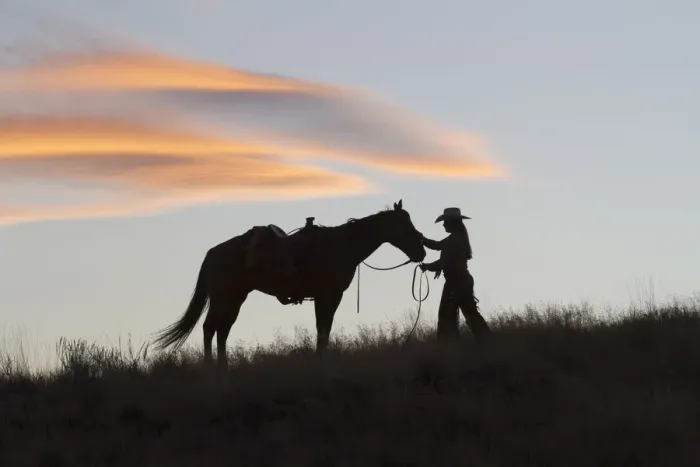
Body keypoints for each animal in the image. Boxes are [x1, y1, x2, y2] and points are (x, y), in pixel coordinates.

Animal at [152, 200, 427, 368]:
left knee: (222, 330)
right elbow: (323, 330)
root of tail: (212, 253)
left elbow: (323, 330)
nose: (421, 252)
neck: (339, 246)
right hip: (225, 297)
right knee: (211, 328)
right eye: (404, 225)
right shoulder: (328, 296)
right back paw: (213, 368)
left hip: (235, 298)